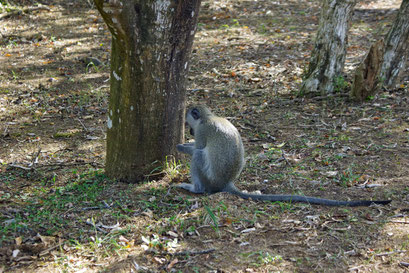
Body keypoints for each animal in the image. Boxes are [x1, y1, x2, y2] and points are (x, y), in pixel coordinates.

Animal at [175, 105, 388, 205]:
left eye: (188, 124)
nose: (189, 131)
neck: (209, 116)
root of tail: (226, 183)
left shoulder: (203, 130)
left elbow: (198, 147)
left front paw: (181, 147)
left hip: (210, 177)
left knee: (198, 157)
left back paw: (195, 188)